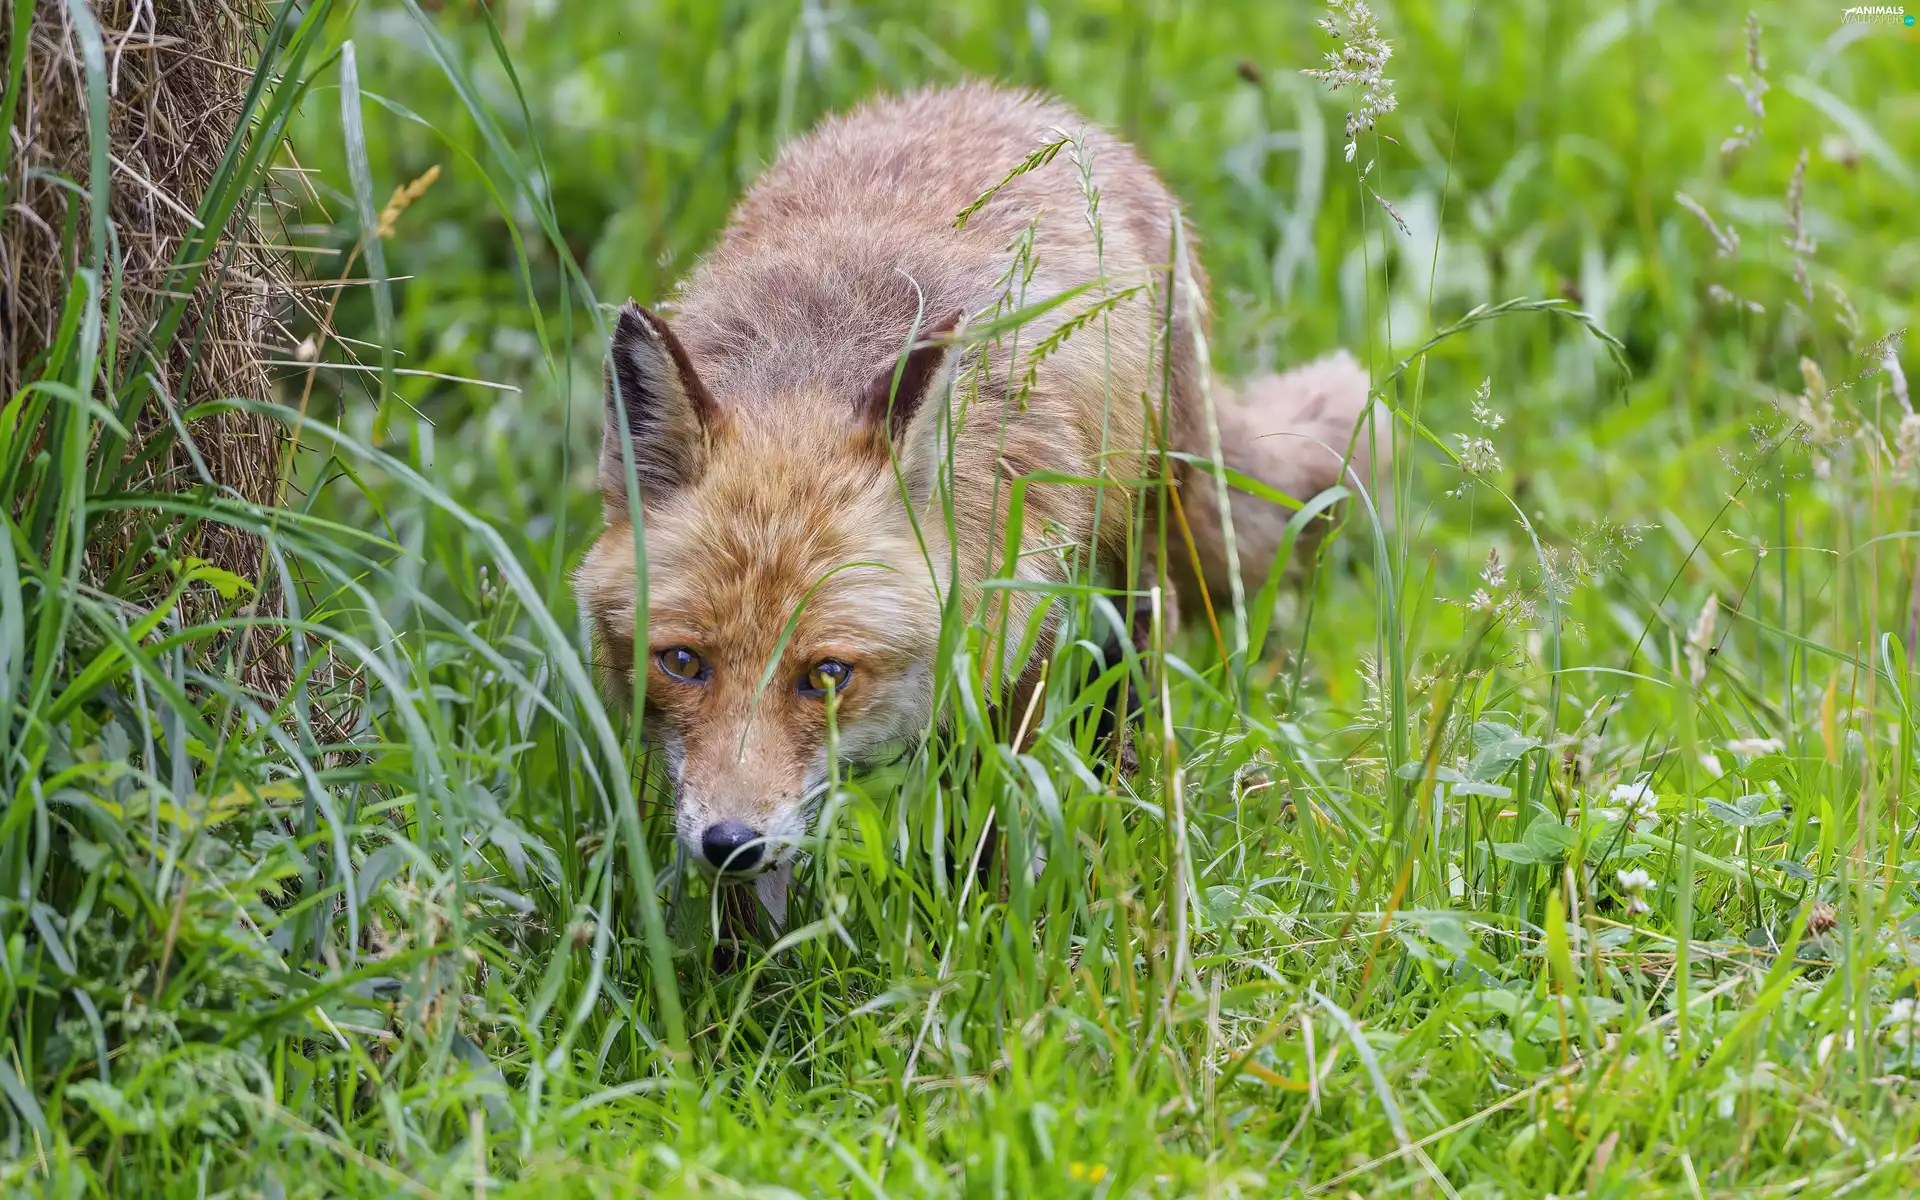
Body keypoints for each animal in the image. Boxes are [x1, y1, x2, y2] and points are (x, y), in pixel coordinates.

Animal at [574, 82, 1379, 923]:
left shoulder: (1021, 623)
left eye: (827, 674)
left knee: (1129, 684)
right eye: (683, 662)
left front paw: (984, 921)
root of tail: (997, 96)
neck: (813, 373)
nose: (731, 843)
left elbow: (992, 809)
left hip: (1133, 555)